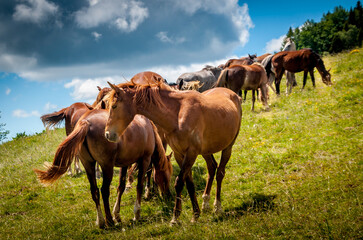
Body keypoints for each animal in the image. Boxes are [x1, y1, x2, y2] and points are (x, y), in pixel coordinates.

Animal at [33, 109, 173, 229]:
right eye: (166, 177)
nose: (169, 196)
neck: (148, 127)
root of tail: (86, 121)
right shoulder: (145, 160)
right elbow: (139, 185)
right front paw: (136, 214)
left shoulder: (124, 163)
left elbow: (121, 187)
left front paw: (117, 214)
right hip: (107, 166)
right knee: (104, 191)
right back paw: (109, 221)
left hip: (88, 165)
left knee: (94, 191)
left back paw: (100, 221)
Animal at [104, 81, 243, 225]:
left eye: (114, 106)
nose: (108, 134)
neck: (177, 114)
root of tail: (234, 95)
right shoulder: (179, 154)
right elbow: (189, 184)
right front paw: (196, 214)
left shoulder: (191, 153)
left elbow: (179, 182)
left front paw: (175, 217)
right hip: (206, 151)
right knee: (212, 168)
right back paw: (205, 203)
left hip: (228, 147)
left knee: (220, 173)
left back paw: (217, 207)